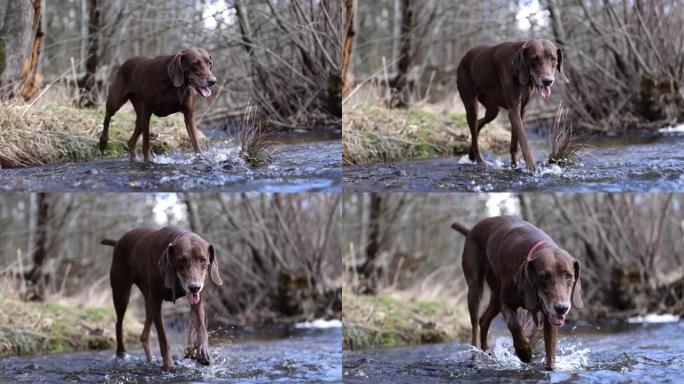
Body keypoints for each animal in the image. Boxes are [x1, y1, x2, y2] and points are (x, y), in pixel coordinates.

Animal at [101, 225, 222, 368]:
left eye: (203, 260)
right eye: (181, 260)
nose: (194, 287)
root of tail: (119, 241)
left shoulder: (197, 304)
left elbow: (202, 329)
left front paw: (203, 352)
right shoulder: (156, 301)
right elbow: (163, 338)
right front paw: (169, 365)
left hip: (147, 300)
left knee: (144, 334)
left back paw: (150, 359)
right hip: (122, 294)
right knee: (118, 323)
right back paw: (121, 353)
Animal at [454, 216, 584, 368]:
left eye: (569, 276)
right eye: (544, 276)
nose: (562, 308)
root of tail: (471, 230)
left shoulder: (549, 318)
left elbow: (550, 351)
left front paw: (549, 367)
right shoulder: (506, 303)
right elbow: (514, 324)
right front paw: (523, 352)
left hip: (496, 295)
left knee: (484, 321)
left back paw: (486, 353)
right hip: (475, 287)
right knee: (475, 324)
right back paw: (475, 357)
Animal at [460, 39, 568, 171]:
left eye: (553, 59)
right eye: (534, 59)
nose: (547, 81)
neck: (519, 70)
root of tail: (464, 57)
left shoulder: (521, 110)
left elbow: (515, 141)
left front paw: (514, 165)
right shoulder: (513, 110)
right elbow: (524, 141)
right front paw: (533, 168)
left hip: (492, 109)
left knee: (478, 124)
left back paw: (472, 153)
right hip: (471, 105)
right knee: (474, 124)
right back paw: (480, 160)